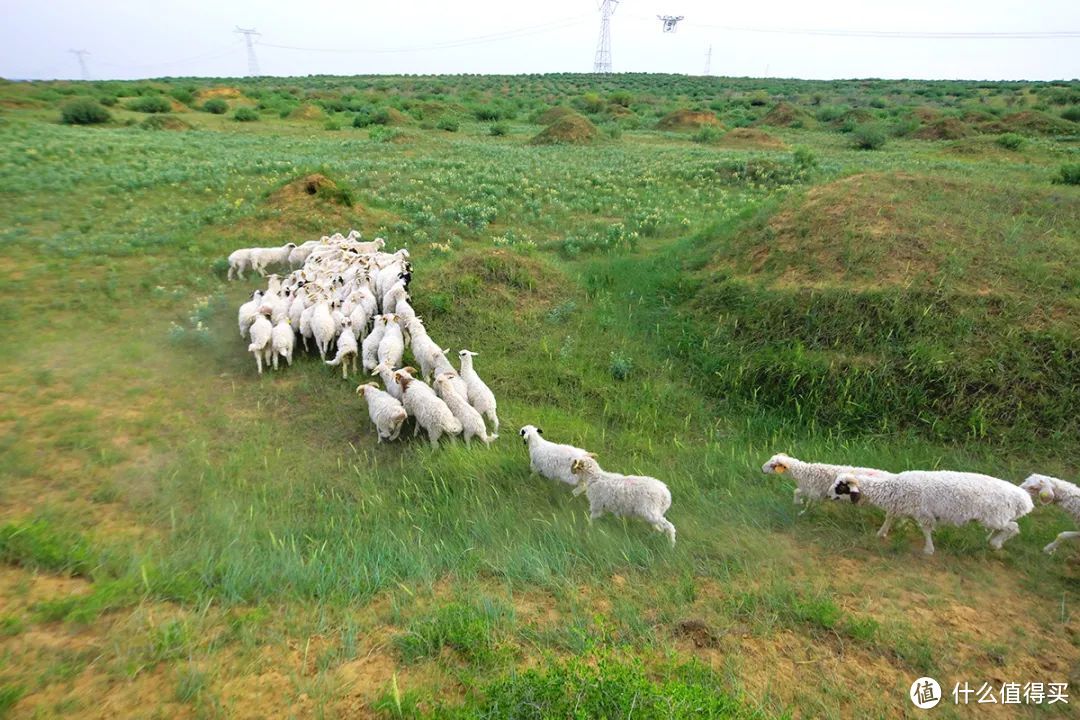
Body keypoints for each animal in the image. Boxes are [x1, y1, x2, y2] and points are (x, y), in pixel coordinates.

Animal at [829, 470, 1032, 557]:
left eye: (841, 487)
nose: (828, 495)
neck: (893, 487)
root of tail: (1024, 500)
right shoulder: (901, 505)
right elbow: (890, 517)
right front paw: (881, 533)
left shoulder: (924, 513)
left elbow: (926, 530)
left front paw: (928, 549)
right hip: (996, 518)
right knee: (1006, 527)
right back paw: (993, 541)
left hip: (994, 517)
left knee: (1013, 527)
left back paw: (996, 543)